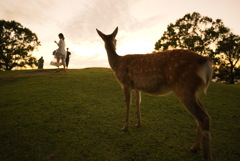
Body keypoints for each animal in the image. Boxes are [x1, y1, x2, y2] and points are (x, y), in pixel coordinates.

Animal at [96, 27, 213, 160]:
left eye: (116, 39)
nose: (115, 42)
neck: (116, 63)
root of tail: (205, 62)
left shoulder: (125, 83)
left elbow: (128, 103)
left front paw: (125, 127)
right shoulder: (136, 86)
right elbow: (137, 102)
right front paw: (138, 123)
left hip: (183, 86)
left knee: (203, 118)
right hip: (193, 91)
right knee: (202, 116)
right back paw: (194, 147)